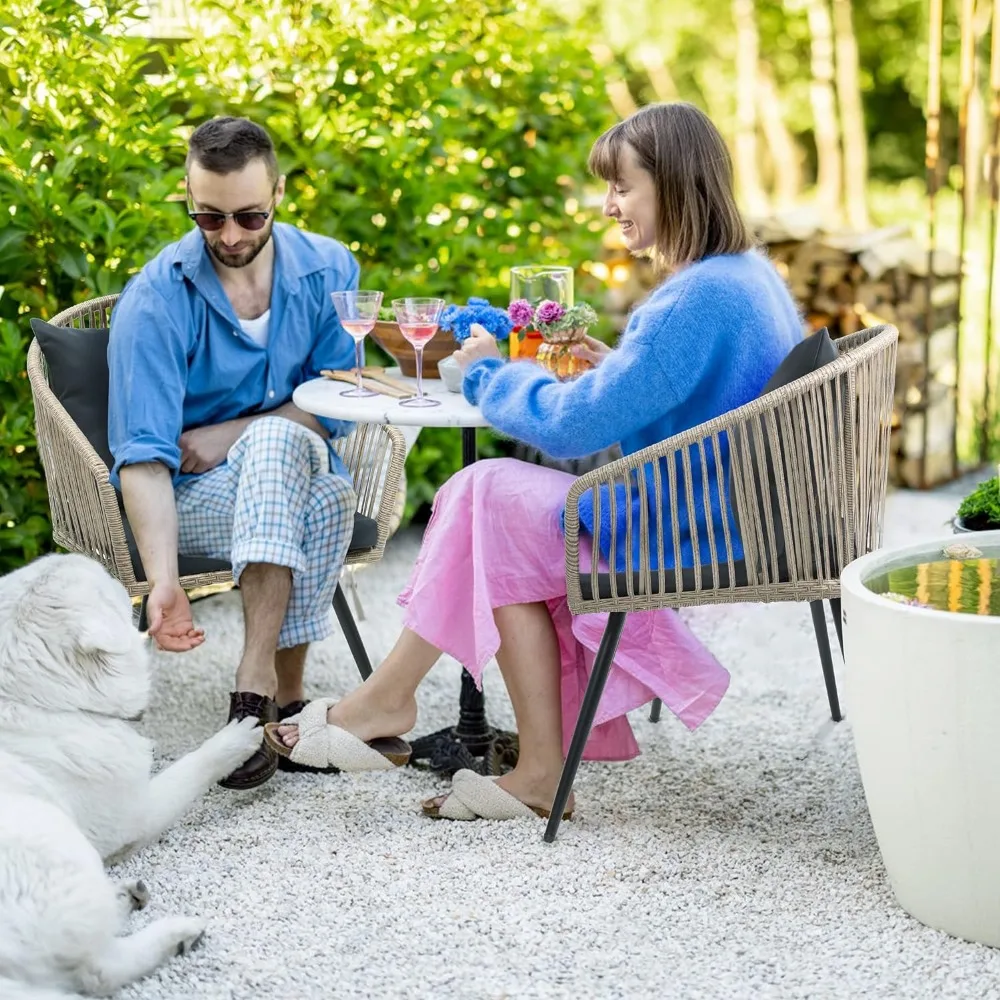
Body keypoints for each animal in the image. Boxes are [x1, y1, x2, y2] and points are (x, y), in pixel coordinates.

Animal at [0, 556, 264, 1000]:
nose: (101, 560)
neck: (42, 700)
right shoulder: (135, 815)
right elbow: (192, 767)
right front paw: (237, 738)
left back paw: (127, 895)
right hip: (55, 842)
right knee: (96, 971)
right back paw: (176, 933)